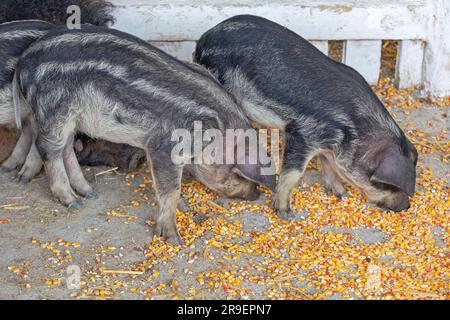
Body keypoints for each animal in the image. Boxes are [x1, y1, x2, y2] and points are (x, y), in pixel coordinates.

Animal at [13, 25, 274, 244]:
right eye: (235, 173)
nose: (256, 194)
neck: (217, 133)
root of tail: (24, 61)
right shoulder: (165, 147)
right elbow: (171, 190)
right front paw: (174, 239)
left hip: (70, 118)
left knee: (66, 148)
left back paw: (90, 193)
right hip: (55, 110)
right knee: (48, 148)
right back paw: (72, 202)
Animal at [195, 14, 420, 215]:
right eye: (386, 185)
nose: (406, 206)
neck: (355, 129)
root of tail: (205, 37)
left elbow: (328, 165)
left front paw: (341, 194)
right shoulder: (302, 133)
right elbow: (293, 172)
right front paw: (285, 212)